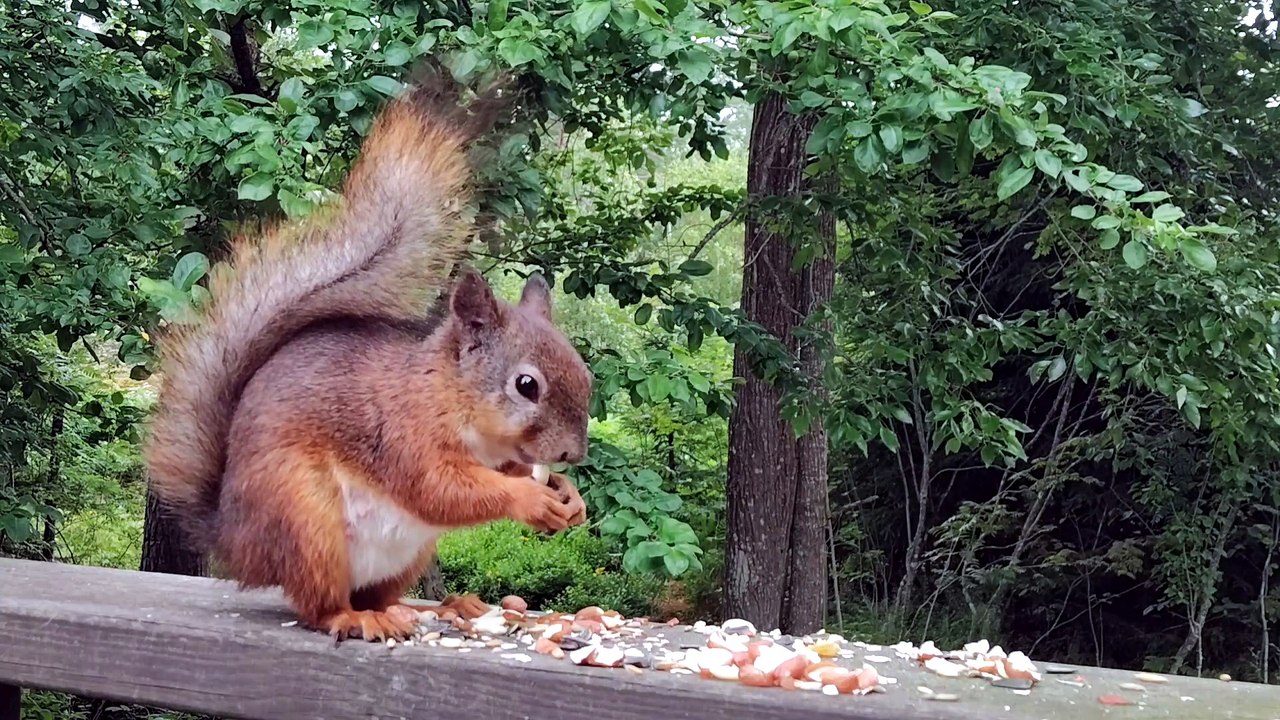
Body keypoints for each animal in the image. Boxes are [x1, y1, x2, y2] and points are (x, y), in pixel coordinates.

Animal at [143, 64, 593, 642]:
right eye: (526, 385)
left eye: (585, 375)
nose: (572, 455)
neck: (448, 394)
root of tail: (236, 542)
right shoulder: (403, 433)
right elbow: (442, 490)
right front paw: (532, 499)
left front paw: (569, 496)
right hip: (306, 521)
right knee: (319, 603)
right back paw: (355, 619)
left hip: (407, 552)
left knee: (381, 592)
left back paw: (448, 607)